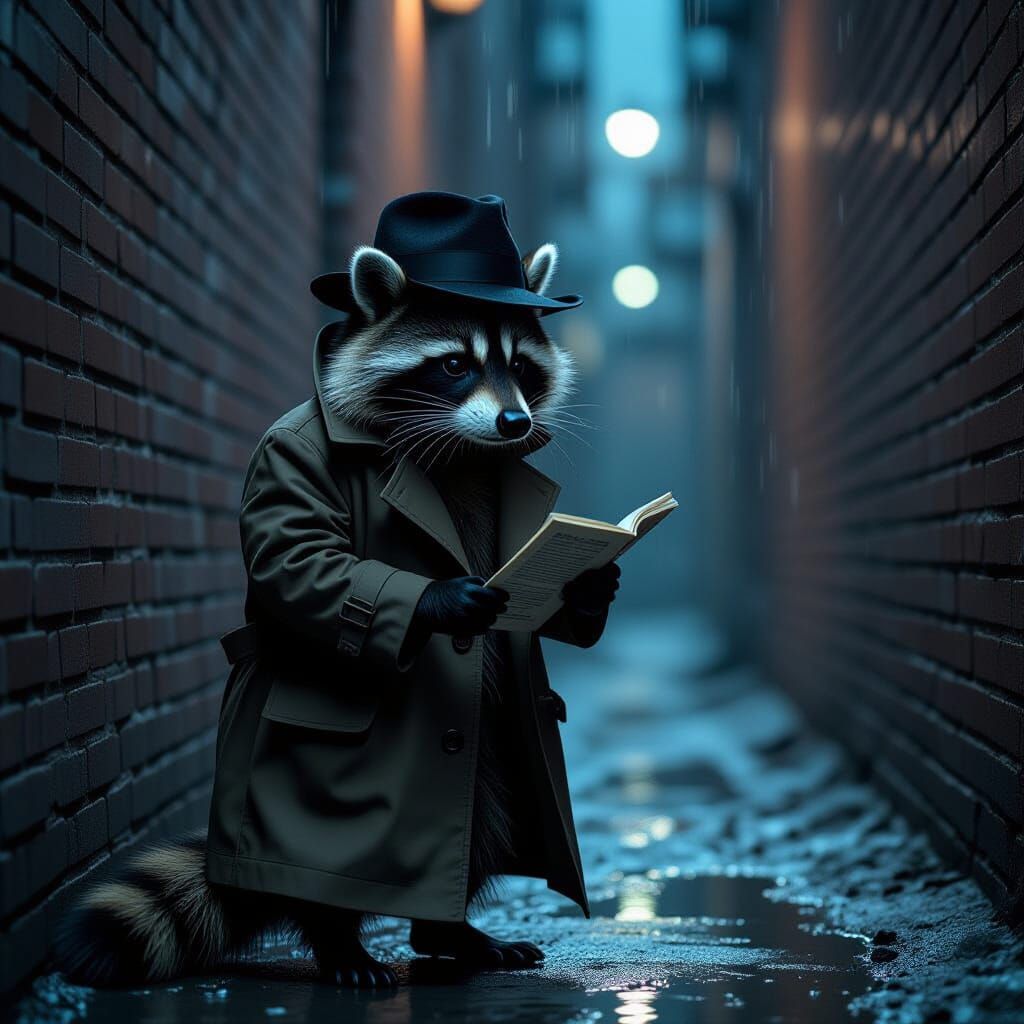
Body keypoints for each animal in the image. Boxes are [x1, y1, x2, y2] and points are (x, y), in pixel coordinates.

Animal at [55, 242, 579, 989]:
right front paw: (442, 599)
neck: (456, 446)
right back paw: (338, 939)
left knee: (483, 815)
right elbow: (299, 557)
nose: (517, 424)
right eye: (455, 364)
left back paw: (449, 930)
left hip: (497, 743)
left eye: (522, 367)